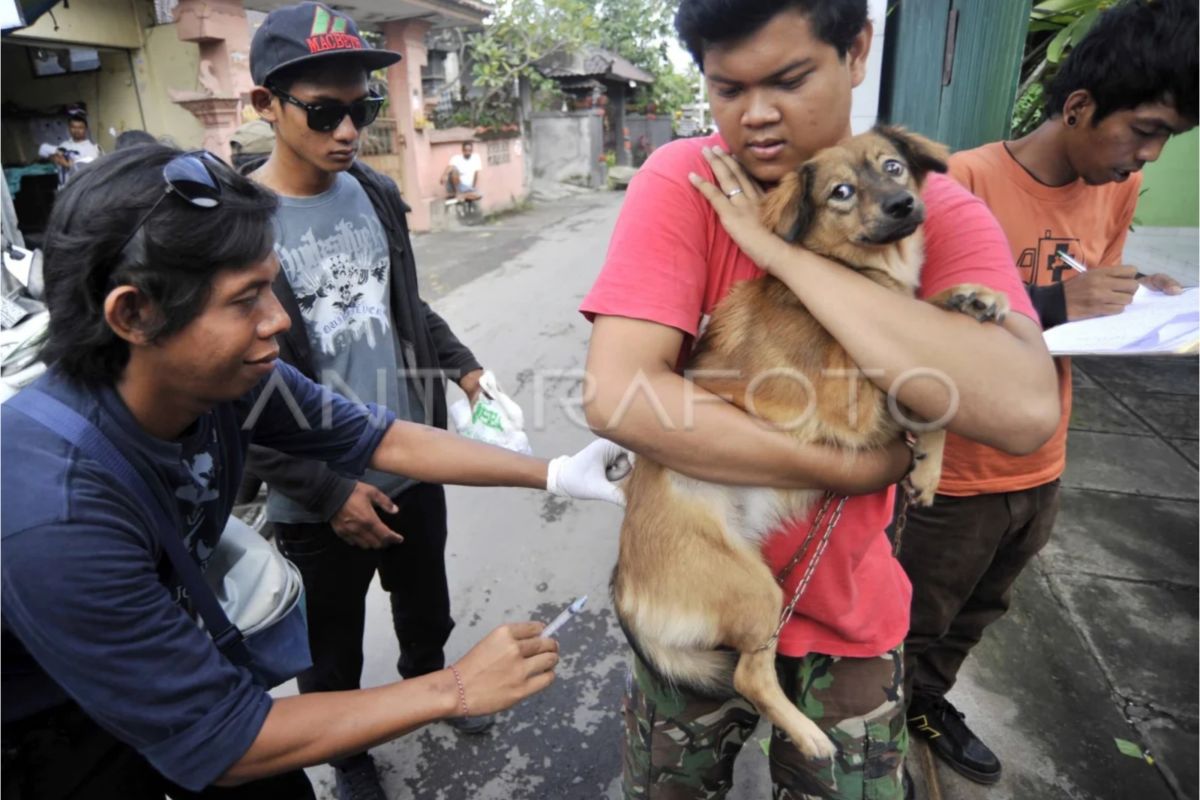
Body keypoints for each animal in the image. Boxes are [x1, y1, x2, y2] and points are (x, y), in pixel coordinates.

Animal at [614, 126, 1008, 758]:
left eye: (893, 167)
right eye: (840, 192)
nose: (903, 206)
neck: (852, 276)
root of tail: (623, 587)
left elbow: (931, 365)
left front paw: (973, 297)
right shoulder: (851, 400)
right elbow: (925, 374)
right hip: (757, 591)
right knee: (749, 675)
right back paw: (808, 735)